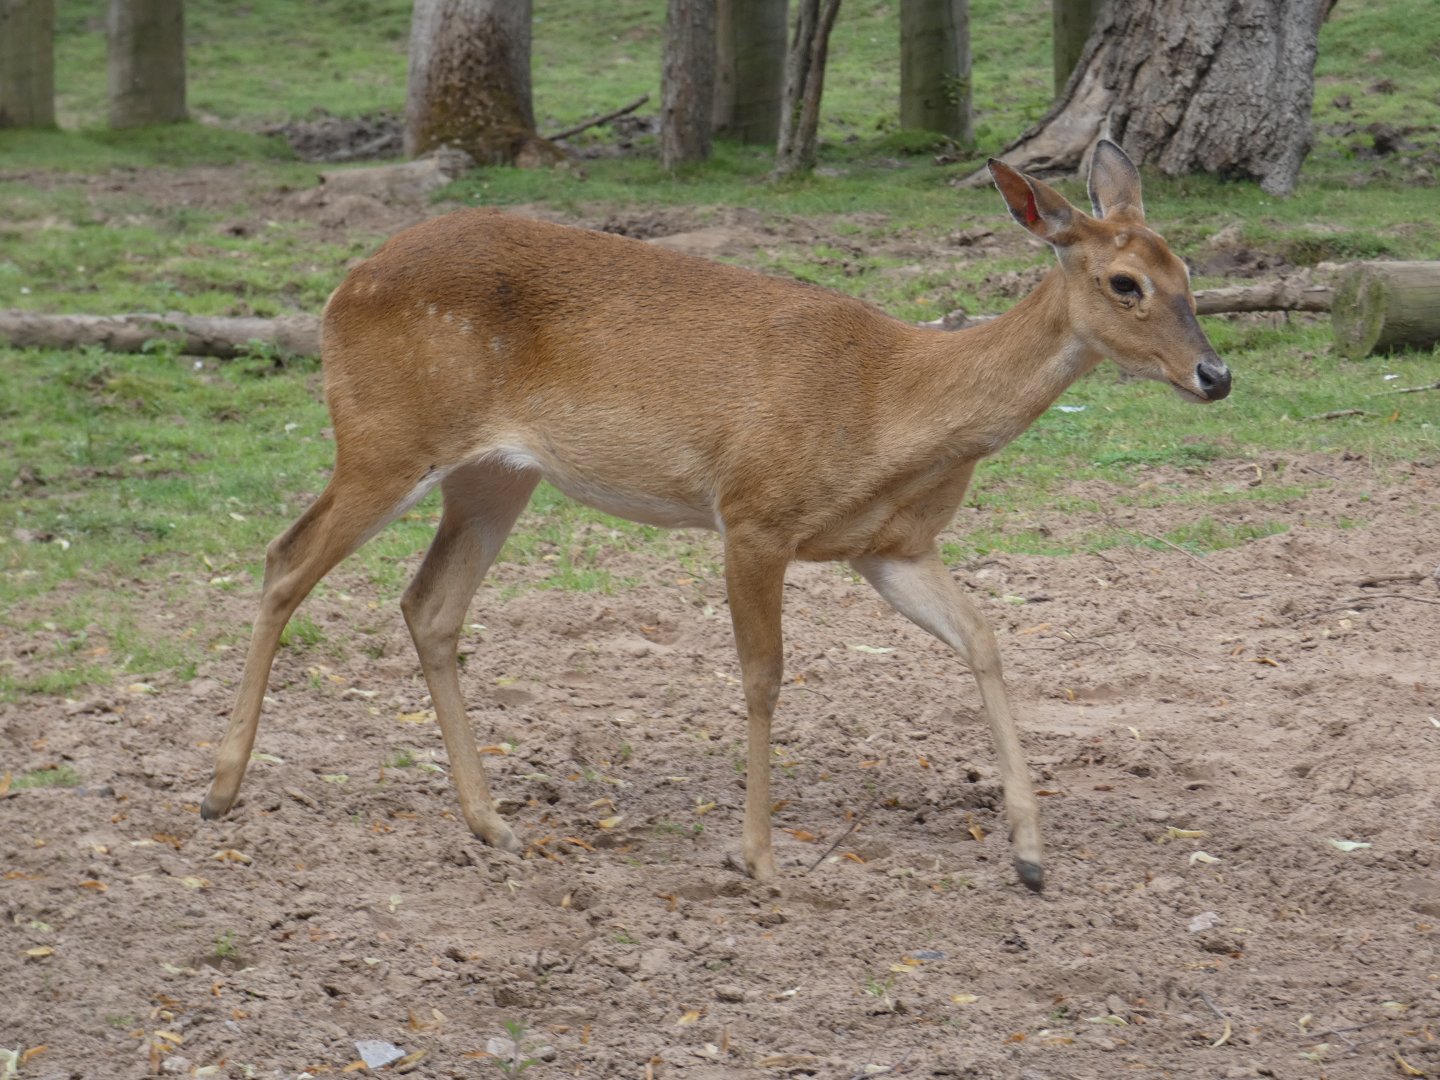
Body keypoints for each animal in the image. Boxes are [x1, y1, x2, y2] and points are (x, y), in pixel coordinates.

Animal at [200, 140, 1230, 893]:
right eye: (1126, 284)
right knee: (285, 557)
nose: (1215, 374)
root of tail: (342, 286)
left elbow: (982, 636)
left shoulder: (889, 546)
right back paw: (220, 789)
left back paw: (491, 823)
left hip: (494, 475)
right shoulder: (753, 512)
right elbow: (764, 677)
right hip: (386, 436)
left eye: (1188, 269)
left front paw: (1030, 856)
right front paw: (760, 858)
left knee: (429, 606)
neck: (893, 404)